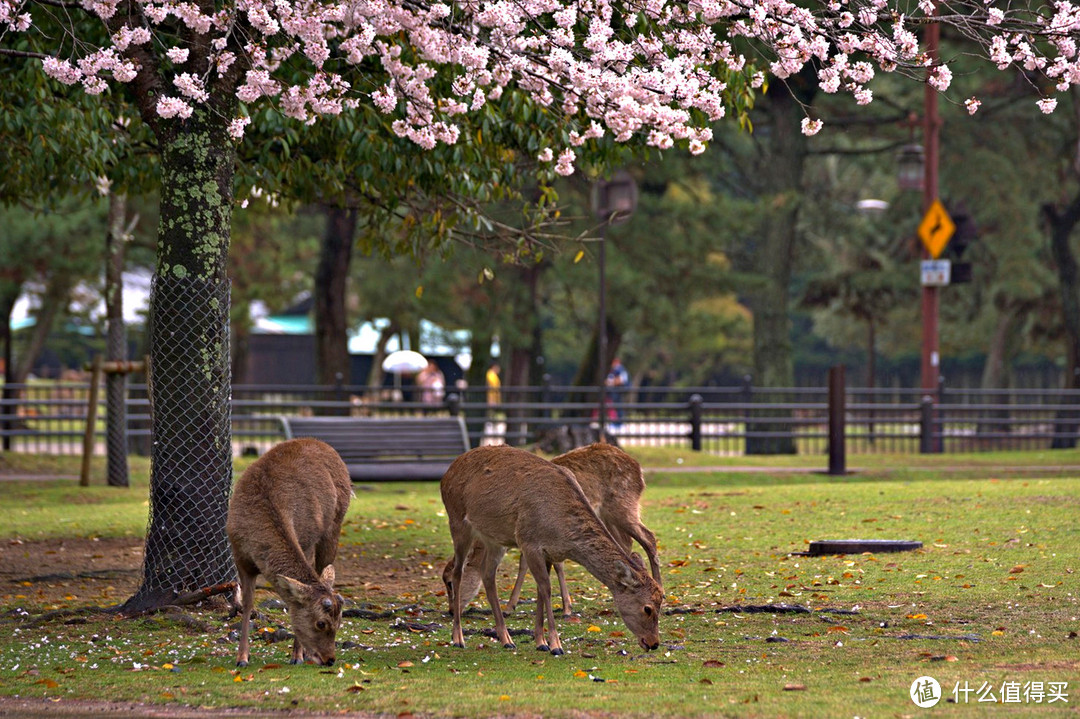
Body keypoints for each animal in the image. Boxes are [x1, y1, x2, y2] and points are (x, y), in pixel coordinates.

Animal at [227, 436, 354, 665]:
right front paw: (242, 658)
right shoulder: (239, 554)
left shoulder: (307, 542)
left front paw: (297, 655)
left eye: (340, 623)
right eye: (321, 623)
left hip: (334, 525)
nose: (330, 659)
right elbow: (247, 603)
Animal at [436, 442, 656, 647]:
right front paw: (553, 642)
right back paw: (460, 638)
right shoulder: (530, 542)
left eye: (653, 606)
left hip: (619, 509)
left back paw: (504, 638)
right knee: (461, 570)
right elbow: (544, 585)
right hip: (458, 521)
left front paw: (543, 639)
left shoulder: (542, 548)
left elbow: (542, 586)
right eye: (648, 608)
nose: (653, 643)